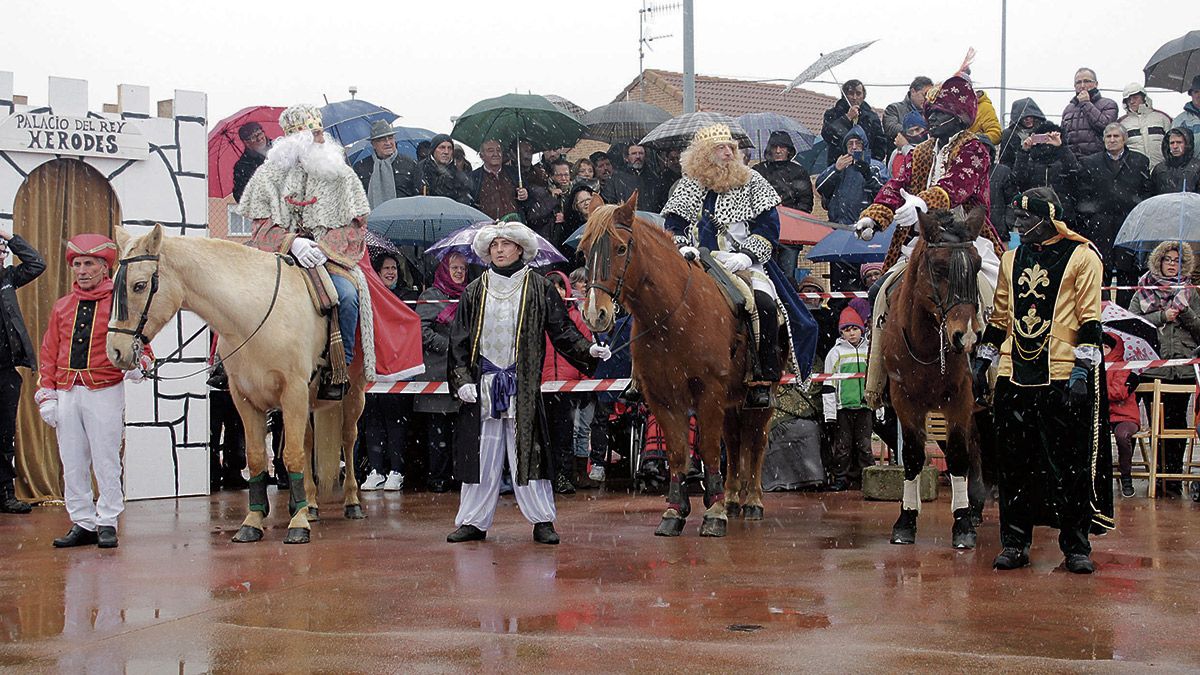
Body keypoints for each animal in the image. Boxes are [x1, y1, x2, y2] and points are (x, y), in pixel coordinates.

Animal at [105, 223, 367, 542]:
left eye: (140, 285)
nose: (115, 350)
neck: (254, 317)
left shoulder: (292, 392)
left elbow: (291, 455)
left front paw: (297, 524)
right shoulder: (245, 398)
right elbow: (257, 458)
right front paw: (253, 522)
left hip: (352, 396)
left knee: (347, 439)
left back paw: (351, 502)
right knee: (307, 442)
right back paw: (311, 504)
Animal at [576, 193, 772, 535]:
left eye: (621, 248)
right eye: (585, 250)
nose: (595, 314)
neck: (673, 315)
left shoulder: (709, 391)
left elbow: (708, 449)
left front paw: (713, 513)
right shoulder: (662, 396)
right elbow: (679, 452)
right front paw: (675, 511)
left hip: (760, 396)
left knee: (756, 441)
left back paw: (752, 501)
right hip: (732, 398)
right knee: (735, 442)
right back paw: (733, 498)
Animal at [878, 205, 988, 547]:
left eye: (977, 266)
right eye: (939, 268)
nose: (967, 336)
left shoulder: (959, 399)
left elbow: (956, 455)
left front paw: (962, 523)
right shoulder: (905, 401)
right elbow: (913, 456)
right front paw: (906, 519)